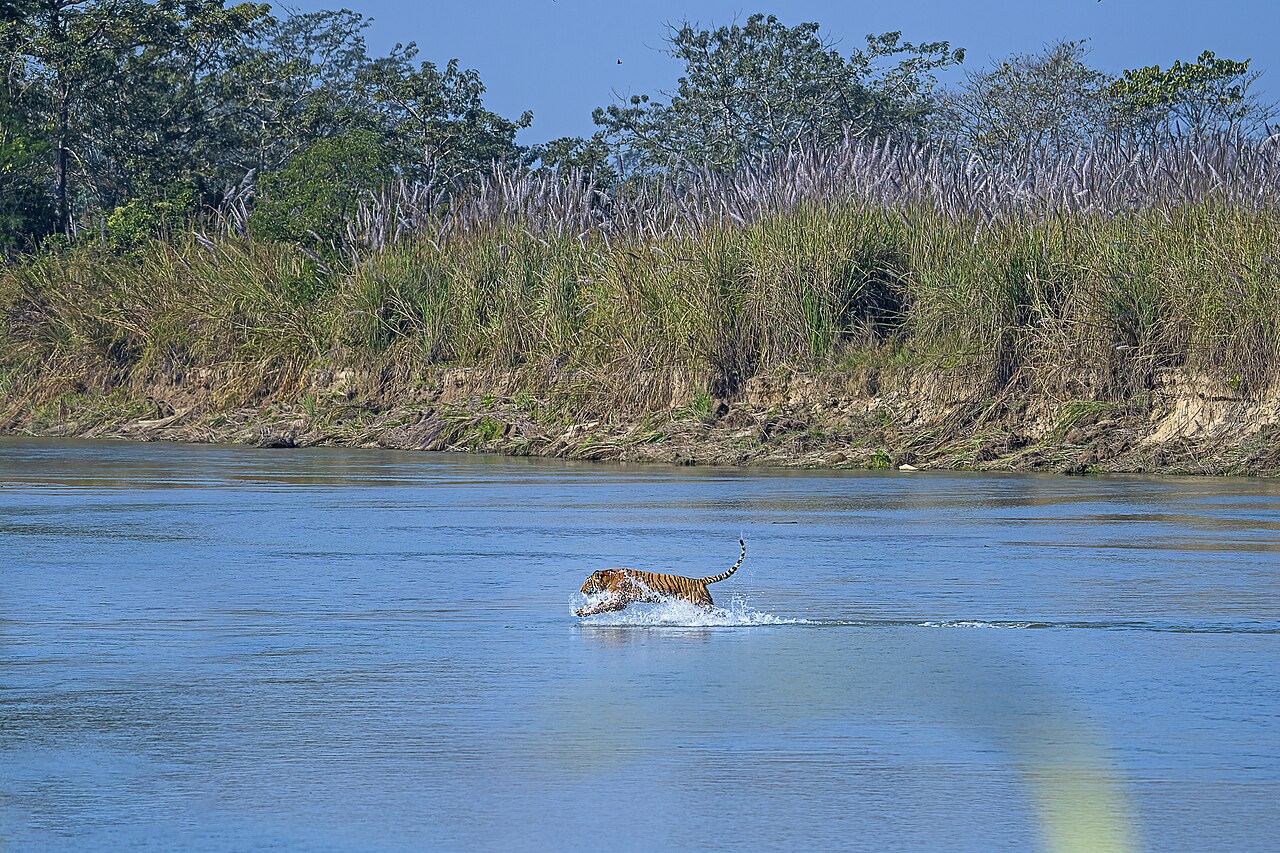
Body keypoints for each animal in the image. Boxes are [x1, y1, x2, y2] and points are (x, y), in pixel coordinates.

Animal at [575, 539, 746, 617]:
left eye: (586, 582)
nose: (580, 590)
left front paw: (582, 612)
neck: (609, 578)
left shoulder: (619, 601)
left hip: (703, 604)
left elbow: (600, 607)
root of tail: (699, 580)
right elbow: (600, 604)